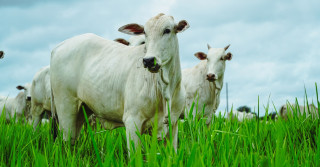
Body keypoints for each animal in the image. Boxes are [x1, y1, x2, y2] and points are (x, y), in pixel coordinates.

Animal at [50, 13, 188, 153]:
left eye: (167, 30)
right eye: (145, 32)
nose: (149, 60)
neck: (165, 88)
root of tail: (58, 47)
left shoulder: (173, 124)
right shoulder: (132, 120)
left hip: (81, 111)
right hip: (66, 107)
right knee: (66, 141)